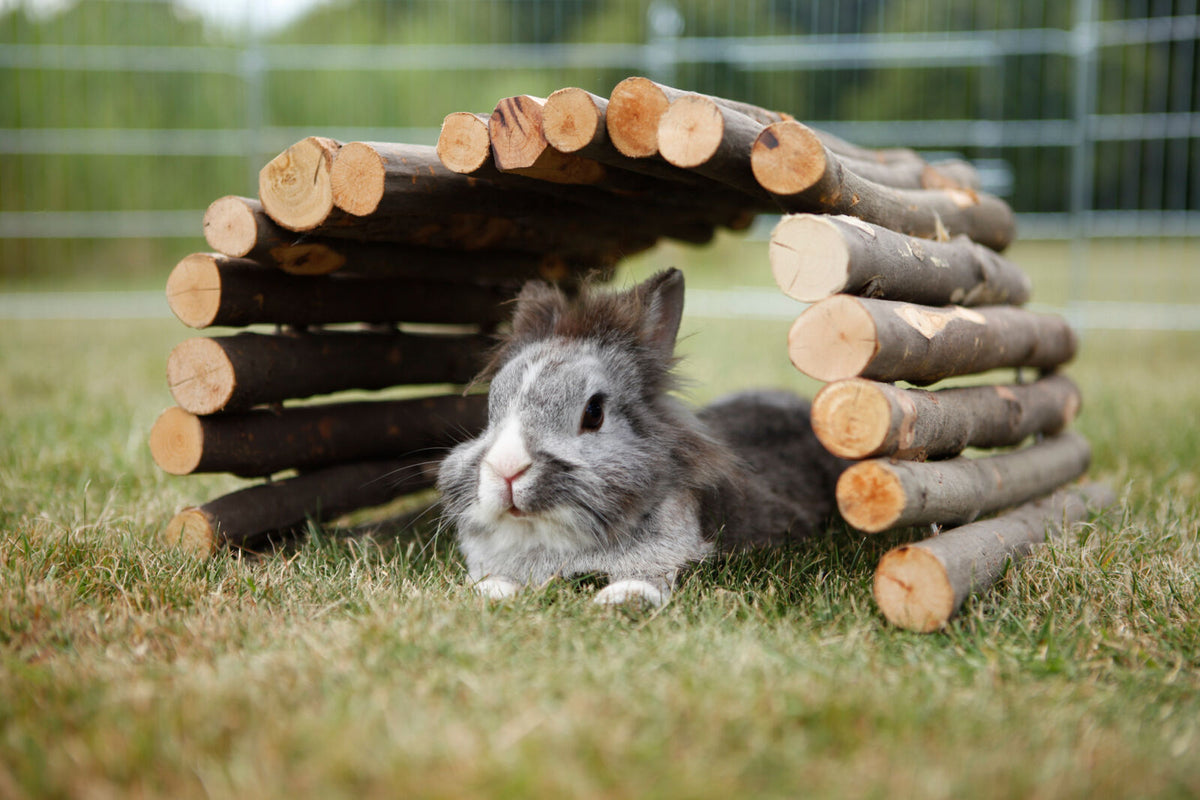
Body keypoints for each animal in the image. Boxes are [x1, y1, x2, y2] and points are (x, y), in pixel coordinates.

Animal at [436, 268, 846, 607]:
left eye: (594, 413)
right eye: (492, 408)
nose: (506, 469)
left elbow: (646, 578)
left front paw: (621, 599)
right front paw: (491, 593)